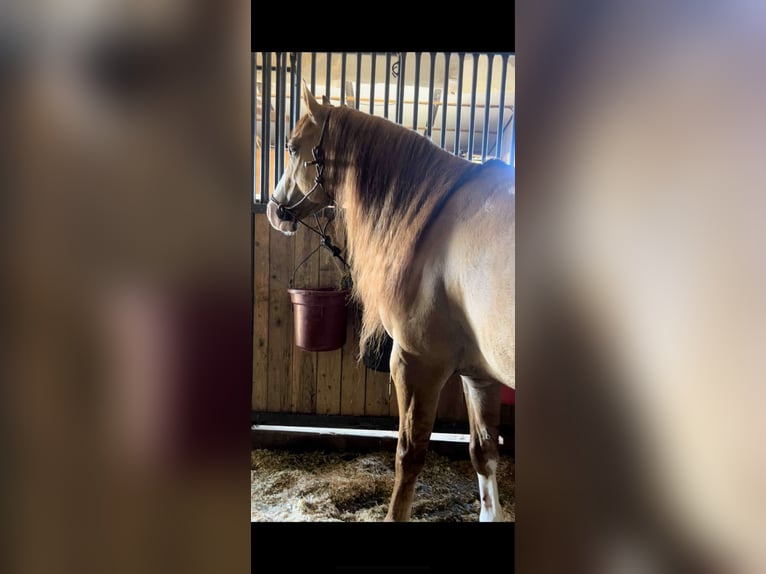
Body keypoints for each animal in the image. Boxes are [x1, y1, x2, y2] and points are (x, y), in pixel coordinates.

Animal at [267, 82, 515, 522]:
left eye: (293, 148)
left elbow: (409, 455)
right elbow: (484, 452)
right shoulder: (479, 374)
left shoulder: (415, 364)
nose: (273, 211)